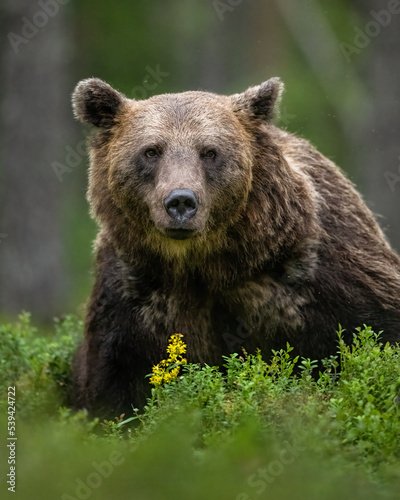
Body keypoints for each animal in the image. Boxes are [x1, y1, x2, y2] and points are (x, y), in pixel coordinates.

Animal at [70, 76, 400, 416]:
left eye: (209, 151)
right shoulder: (135, 292)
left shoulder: (314, 275)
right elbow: (112, 382)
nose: (180, 201)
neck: (210, 265)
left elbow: (376, 329)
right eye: (151, 151)